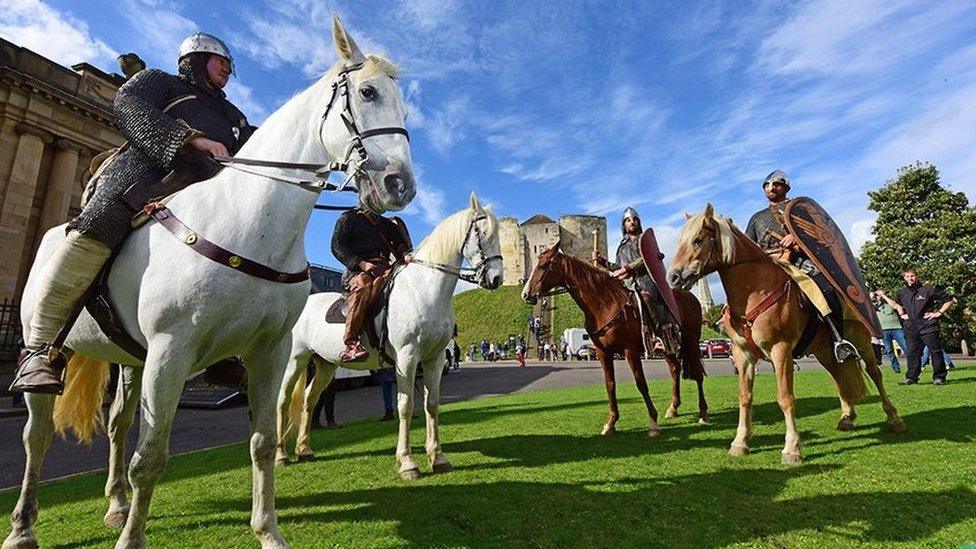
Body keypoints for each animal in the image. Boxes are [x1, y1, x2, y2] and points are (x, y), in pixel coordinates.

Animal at [1, 17, 412, 548]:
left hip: (132, 361)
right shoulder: (172, 352)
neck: (247, 222)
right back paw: (23, 525)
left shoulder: (268, 353)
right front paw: (132, 539)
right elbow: (151, 459)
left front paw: (268, 531)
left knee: (116, 426)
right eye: (366, 92)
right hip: (56, 347)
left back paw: (115, 505)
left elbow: (262, 443)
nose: (400, 185)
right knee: (38, 434)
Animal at [274, 195, 504, 478]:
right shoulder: (407, 357)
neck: (424, 290)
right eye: (481, 233)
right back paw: (280, 455)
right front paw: (407, 462)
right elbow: (405, 406)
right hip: (295, 360)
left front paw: (438, 457)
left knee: (309, 399)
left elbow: (432, 404)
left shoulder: (435, 359)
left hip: (325, 365)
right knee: (283, 401)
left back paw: (304, 450)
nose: (496, 278)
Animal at [524, 241, 704, 436]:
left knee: (697, 373)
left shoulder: (630, 350)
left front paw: (653, 423)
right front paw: (611, 422)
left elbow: (641, 384)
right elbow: (610, 384)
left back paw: (703, 412)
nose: (525, 294)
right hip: (668, 346)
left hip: (692, 339)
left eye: (543, 266)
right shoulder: (603, 352)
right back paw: (673, 408)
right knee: (674, 369)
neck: (605, 303)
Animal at [668, 203, 904, 464]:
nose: (673, 277)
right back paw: (847, 417)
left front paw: (791, 448)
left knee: (875, 374)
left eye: (698, 240)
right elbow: (744, 397)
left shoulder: (780, 350)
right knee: (838, 376)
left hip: (862, 340)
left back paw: (894, 418)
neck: (753, 292)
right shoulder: (743, 354)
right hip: (824, 351)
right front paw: (740, 442)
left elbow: (785, 398)